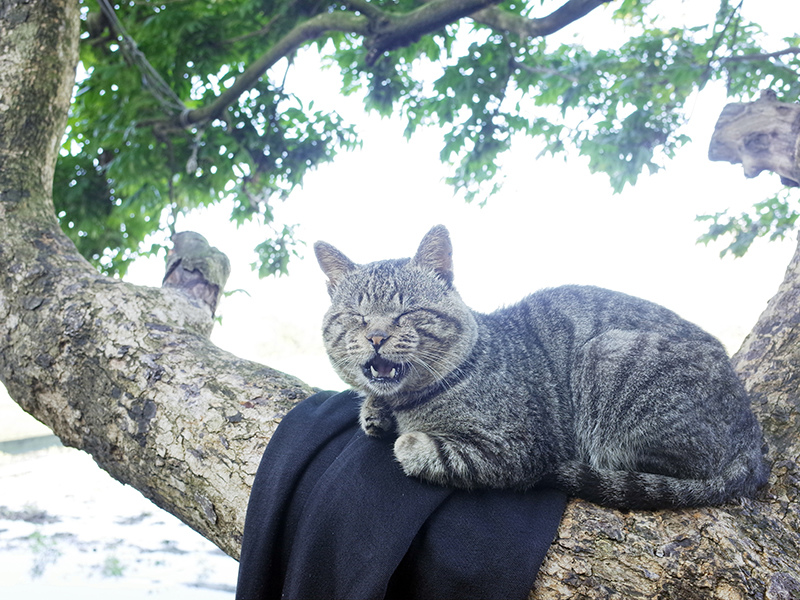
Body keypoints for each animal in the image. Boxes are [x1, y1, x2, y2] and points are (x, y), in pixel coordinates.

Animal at [312, 227, 768, 508]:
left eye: (407, 312)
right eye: (355, 316)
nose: (376, 336)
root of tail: (753, 439)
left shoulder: (516, 447)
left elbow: (417, 448)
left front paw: (403, 436)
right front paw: (373, 410)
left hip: (609, 356)